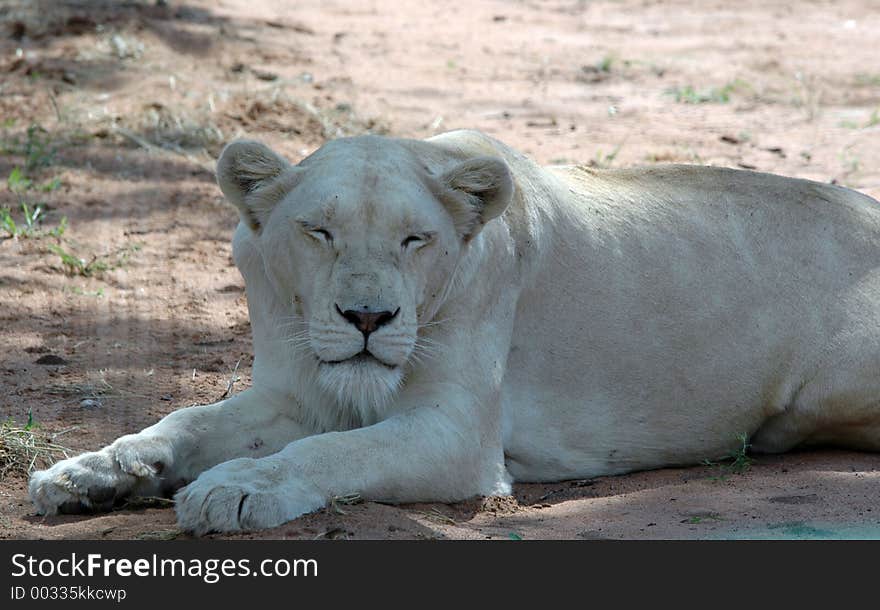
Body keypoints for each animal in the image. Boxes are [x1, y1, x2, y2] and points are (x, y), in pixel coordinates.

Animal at [29, 129, 880, 532]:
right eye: (319, 231)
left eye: (415, 239)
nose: (367, 318)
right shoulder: (292, 392)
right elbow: (184, 420)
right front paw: (93, 473)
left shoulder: (459, 434)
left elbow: (334, 452)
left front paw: (236, 490)